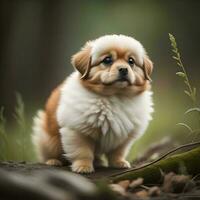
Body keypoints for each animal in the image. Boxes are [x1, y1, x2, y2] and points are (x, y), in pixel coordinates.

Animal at [32, 34, 154, 173]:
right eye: (107, 60)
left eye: (131, 61)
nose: (124, 69)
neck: (114, 96)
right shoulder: (78, 131)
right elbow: (83, 152)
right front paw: (83, 167)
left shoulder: (123, 137)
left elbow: (117, 152)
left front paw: (119, 163)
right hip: (49, 140)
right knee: (49, 154)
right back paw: (54, 161)